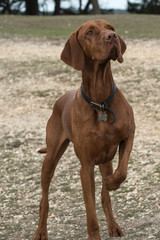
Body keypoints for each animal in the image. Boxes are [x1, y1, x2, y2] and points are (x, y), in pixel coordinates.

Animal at [33, 19, 135, 239]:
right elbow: (91, 215)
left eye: (111, 28)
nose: (112, 37)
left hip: (105, 161)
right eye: (89, 32)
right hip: (50, 158)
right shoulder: (86, 166)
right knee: (44, 200)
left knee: (106, 197)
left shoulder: (128, 135)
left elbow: (121, 172)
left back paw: (113, 224)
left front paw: (111, 183)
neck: (101, 102)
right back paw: (41, 232)